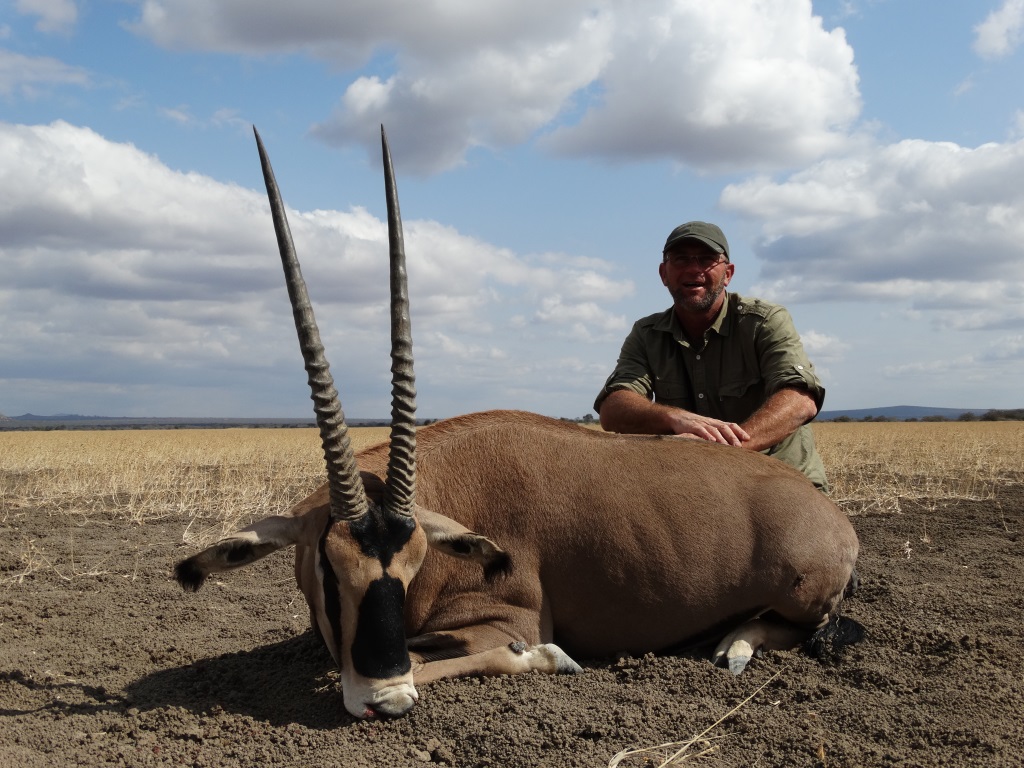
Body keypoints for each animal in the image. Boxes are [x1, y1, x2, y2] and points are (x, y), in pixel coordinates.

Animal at [174, 126, 856, 720]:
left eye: (415, 562)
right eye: (327, 567)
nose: (384, 702)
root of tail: (834, 518)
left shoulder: (511, 619)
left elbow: (475, 655)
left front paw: (553, 659)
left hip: (802, 597)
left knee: (801, 625)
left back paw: (732, 645)